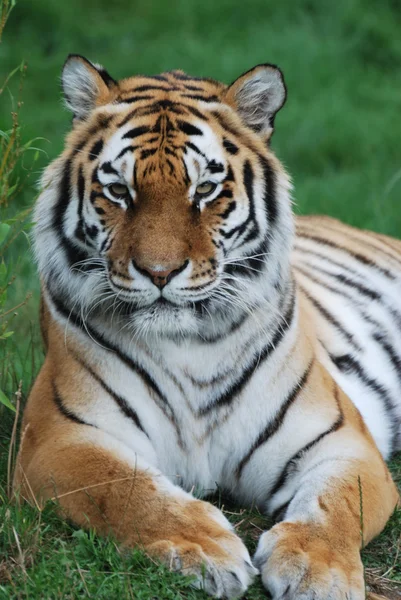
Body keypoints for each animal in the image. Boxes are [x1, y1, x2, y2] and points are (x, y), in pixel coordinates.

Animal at [13, 54, 400, 596]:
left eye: (205, 190)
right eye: (119, 191)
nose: (158, 273)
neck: (187, 343)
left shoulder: (340, 442)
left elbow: (337, 505)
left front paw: (316, 569)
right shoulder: (58, 440)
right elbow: (123, 488)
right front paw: (205, 548)